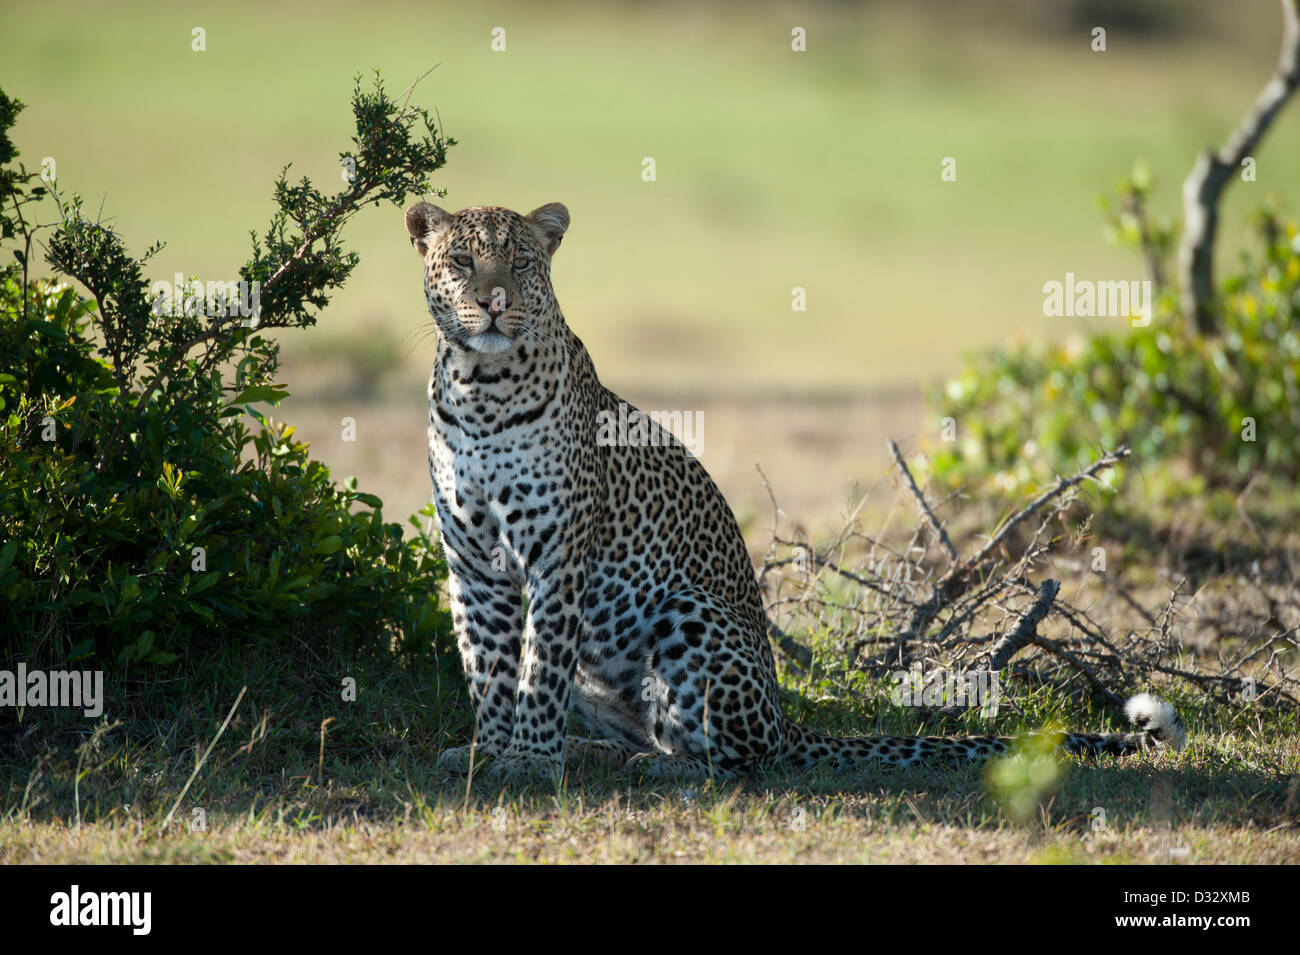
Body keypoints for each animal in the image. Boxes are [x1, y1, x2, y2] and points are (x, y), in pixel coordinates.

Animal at [404, 199, 1187, 782]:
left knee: (741, 757)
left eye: (521, 261)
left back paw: (657, 767)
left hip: (690, 613)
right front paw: (488, 750)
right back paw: (597, 751)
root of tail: (787, 714)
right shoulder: (472, 563)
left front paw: (530, 760)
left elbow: (537, 667)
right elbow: (488, 664)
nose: (493, 302)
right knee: (654, 734)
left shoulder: (559, 556)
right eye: (463, 261)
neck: (483, 389)